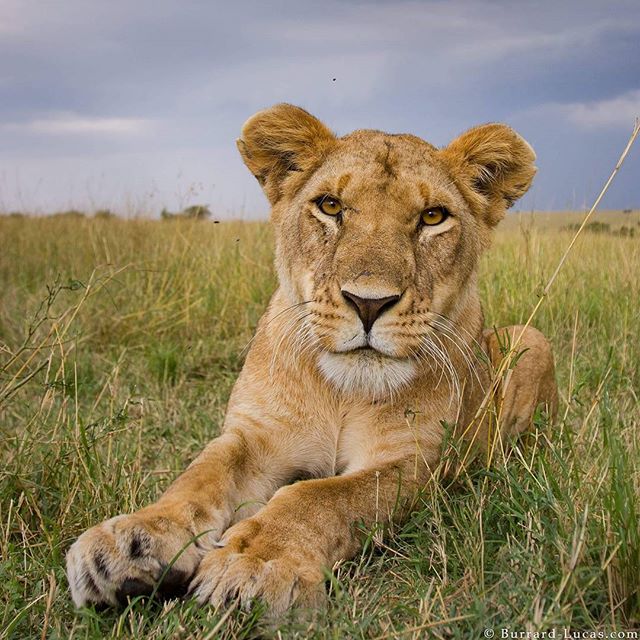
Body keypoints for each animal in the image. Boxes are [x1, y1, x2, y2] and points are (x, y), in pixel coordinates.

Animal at [66, 104, 558, 614]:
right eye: (331, 206)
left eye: (433, 216)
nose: (368, 303)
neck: (343, 392)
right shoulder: (256, 434)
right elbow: (201, 473)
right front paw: (134, 540)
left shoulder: (413, 462)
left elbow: (319, 496)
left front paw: (256, 563)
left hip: (530, 338)